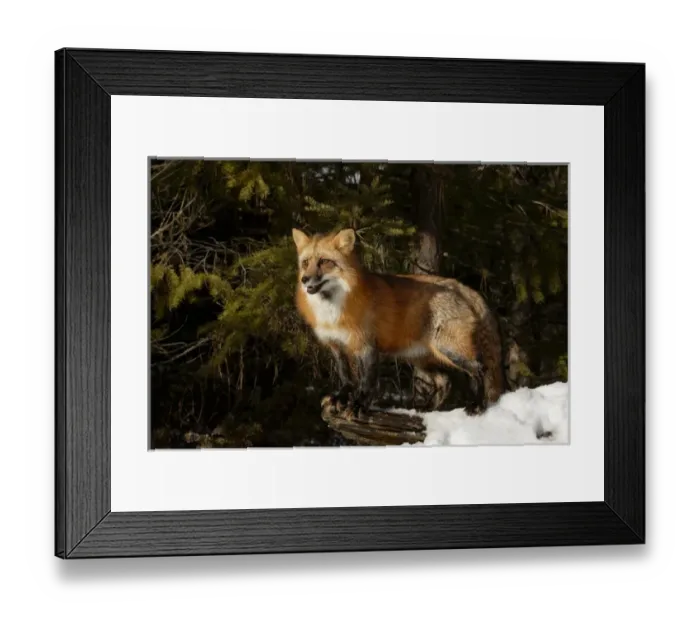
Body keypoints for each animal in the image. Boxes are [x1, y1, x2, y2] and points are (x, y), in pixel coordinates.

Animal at [292, 227, 505, 414]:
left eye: (324, 261)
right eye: (306, 263)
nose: (305, 279)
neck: (333, 312)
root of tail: (463, 288)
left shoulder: (367, 347)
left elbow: (367, 382)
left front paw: (359, 405)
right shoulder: (337, 346)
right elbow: (346, 379)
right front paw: (341, 398)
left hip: (449, 350)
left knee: (479, 369)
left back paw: (477, 405)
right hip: (419, 359)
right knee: (445, 381)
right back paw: (426, 410)